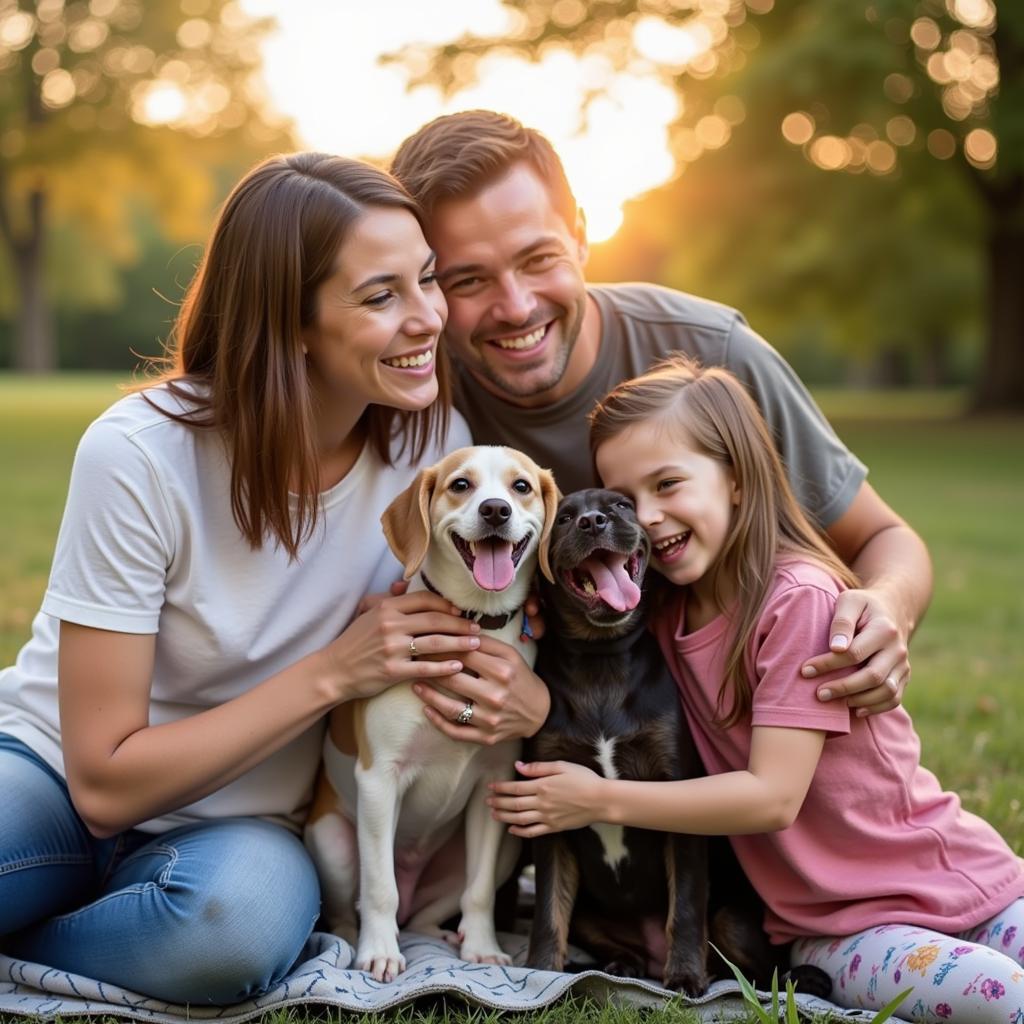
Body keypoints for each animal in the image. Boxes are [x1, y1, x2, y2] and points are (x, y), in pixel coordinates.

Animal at [305, 446, 561, 983]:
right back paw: (352, 939)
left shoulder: (494, 782)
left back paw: (447, 937)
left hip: (503, 850)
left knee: (427, 914)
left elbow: (478, 892)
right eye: (461, 485)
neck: (474, 626)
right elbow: (379, 888)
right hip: (333, 841)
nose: (495, 510)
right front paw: (380, 952)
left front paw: (482, 947)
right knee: (354, 907)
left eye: (521, 487)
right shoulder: (379, 779)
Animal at [528, 487, 831, 999]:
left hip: (733, 919)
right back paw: (619, 965)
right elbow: (549, 907)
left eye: (621, 506)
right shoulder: (547, 807)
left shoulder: (678, 792)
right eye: (564, 518)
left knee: (754, 970)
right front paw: (541, 973)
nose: (592, 522)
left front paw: (686, 978)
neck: (599, 657)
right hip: (593, 914)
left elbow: (686, 907)